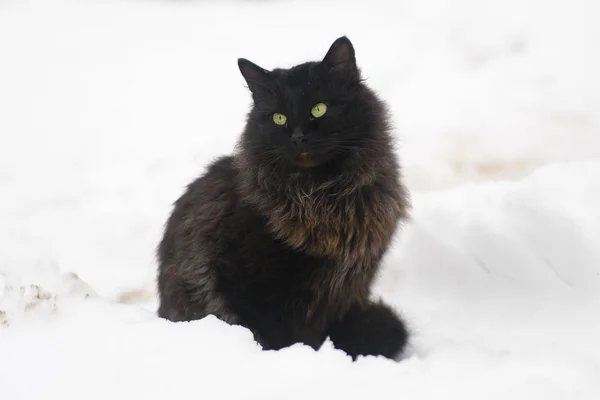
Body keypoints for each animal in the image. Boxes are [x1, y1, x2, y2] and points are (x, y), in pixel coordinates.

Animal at [157, 35, 410, 360]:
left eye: (319, 108)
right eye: (278, 118)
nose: (298, 138)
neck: (323, 197)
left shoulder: (348, 288)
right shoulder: (248, 282)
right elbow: (275, 336)